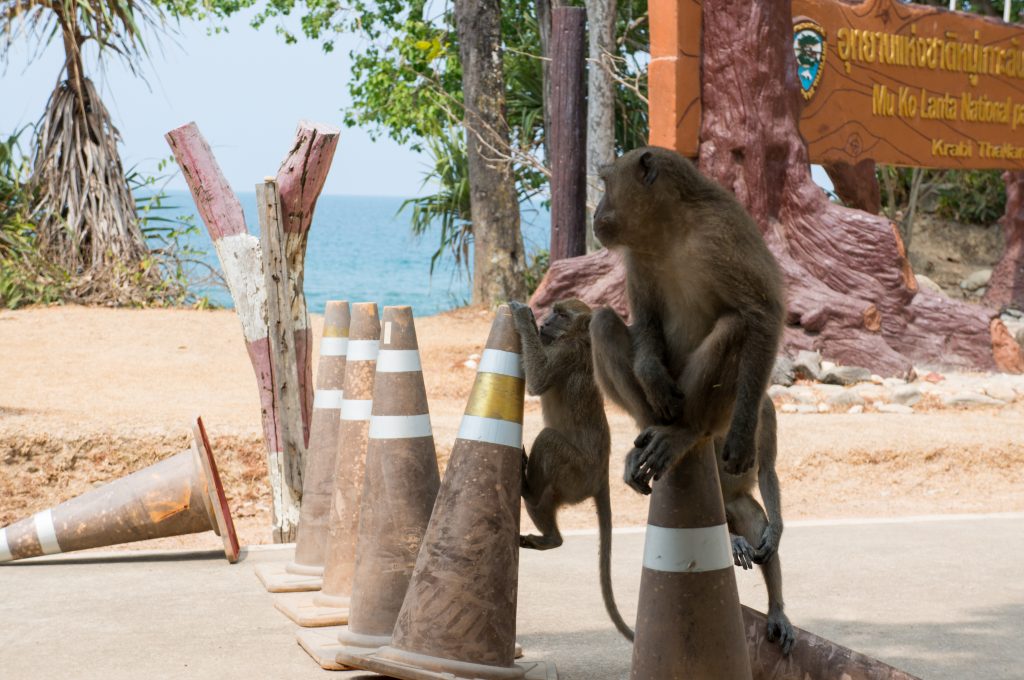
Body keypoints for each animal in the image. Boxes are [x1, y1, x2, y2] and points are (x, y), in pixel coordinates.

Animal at [509, 299, 634, 643]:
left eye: (561, 315)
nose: (545, 323)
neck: (579, 338)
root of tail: (601, 475)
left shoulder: (564, 353)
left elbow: (538, 380)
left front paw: (523, 316)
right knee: (541, 504)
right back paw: (551, 538)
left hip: (574, 473)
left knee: (548, 441)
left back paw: (531, 495)